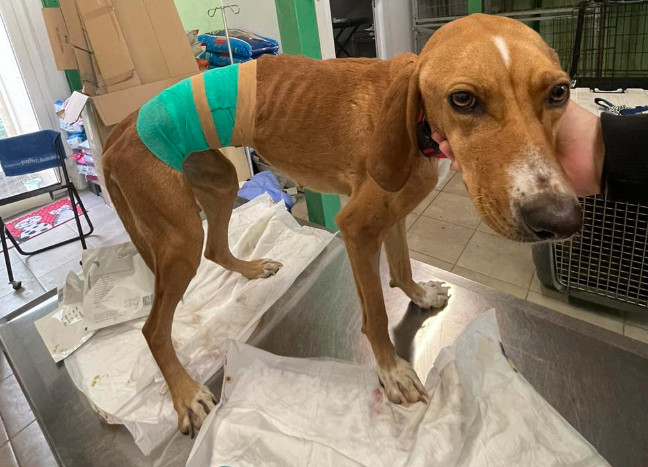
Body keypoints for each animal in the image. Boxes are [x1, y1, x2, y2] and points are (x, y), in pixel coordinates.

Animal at [102, 14, 582, 436]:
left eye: (560, 92)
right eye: (463, 99)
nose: (559, 219)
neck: (416, 121)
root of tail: (118, 132)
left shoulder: (393, 214)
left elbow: (402, 268)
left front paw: (420, 296)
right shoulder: (356, 228)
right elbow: (376, 312)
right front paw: (391, 371)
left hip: (218, 183)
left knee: (216, 248)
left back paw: (253, 269)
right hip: (180, 239)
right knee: (153, 328)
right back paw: (185, 394)